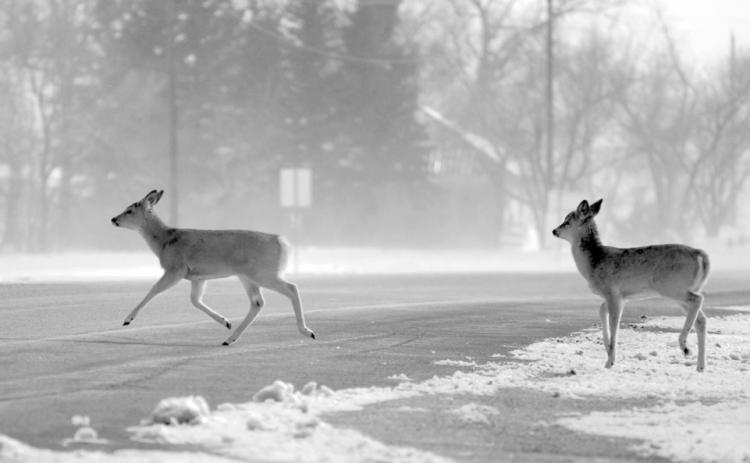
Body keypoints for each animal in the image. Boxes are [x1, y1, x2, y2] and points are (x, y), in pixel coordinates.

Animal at [110, 189, 315, 345]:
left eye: (129, 210)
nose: (113, 219)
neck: (164, 242)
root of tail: (283, 243)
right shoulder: (197, 277)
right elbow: (195, 300)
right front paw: (225, 321)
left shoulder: (176, 268)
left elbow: (154, 289)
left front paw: (127, 319)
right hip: (247, 276)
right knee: (257, 303)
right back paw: (229, 338)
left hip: (263, 272)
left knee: (291, 288)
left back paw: (308, 331)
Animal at [552, 199, 710, 372]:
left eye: (567, 221)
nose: (554, 231)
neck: (593, 263)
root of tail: (700, 255)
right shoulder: (619, 296)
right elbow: (601, 310)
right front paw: (607, 350)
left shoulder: (612, 292)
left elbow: (614, 324)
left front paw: (610, 361)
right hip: (678, 292)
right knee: (701, 319)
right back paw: (700, 365)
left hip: (672, 287)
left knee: (699, 299)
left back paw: (684, 346)